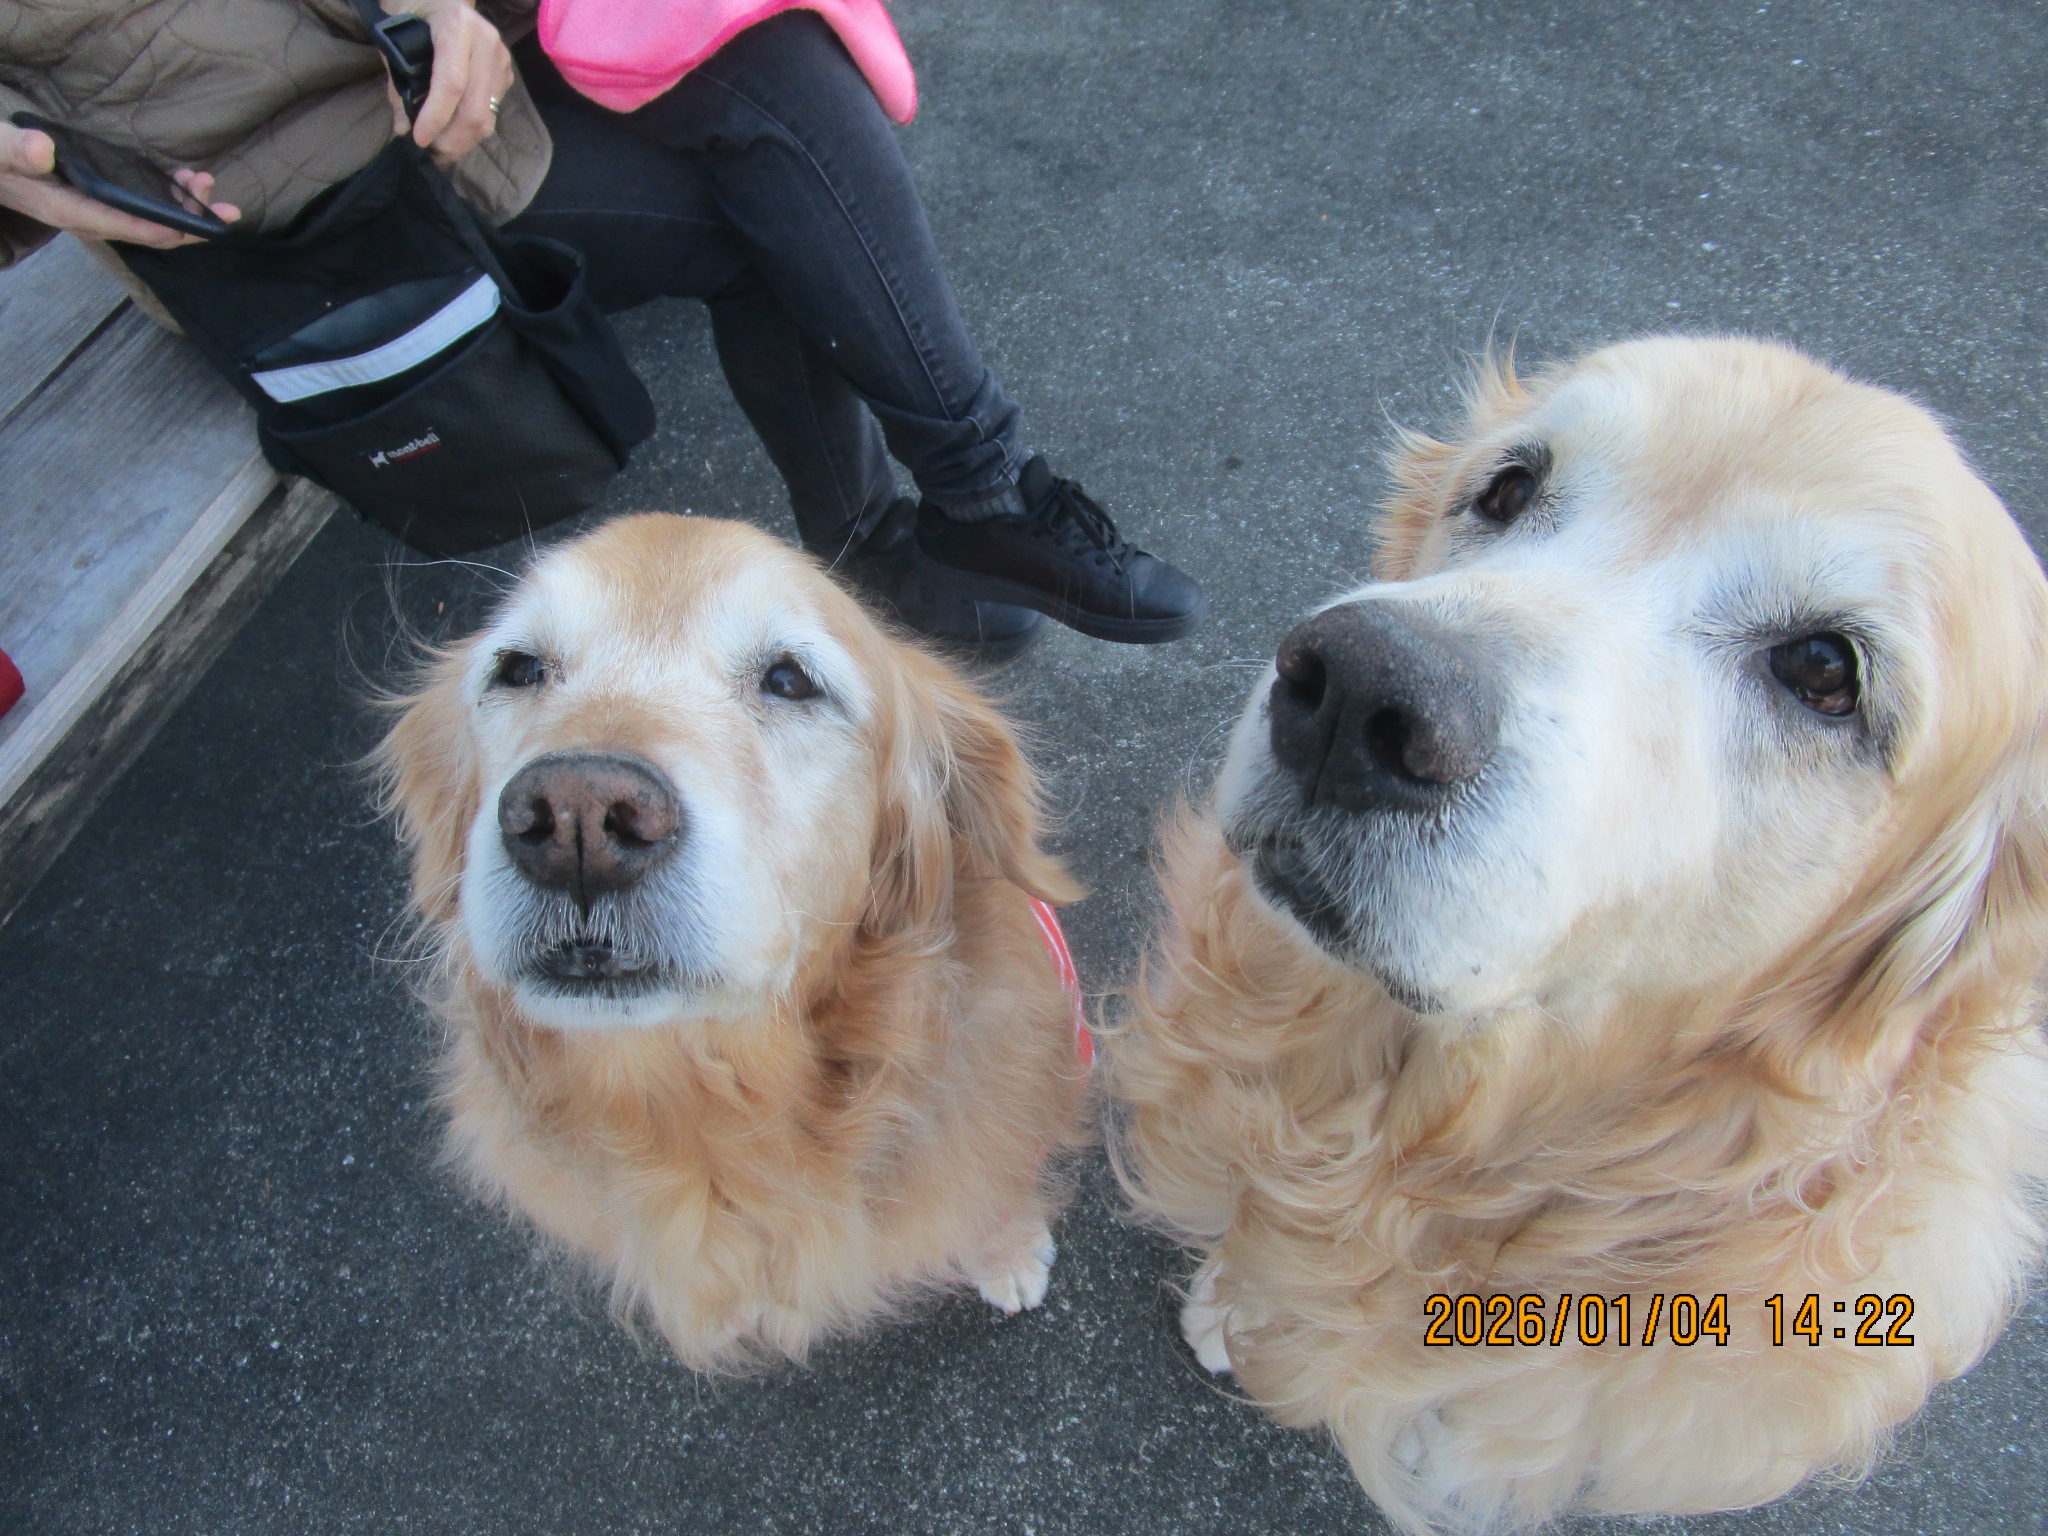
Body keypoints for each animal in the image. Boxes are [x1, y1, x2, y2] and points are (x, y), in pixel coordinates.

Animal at [377, 513, 1090, 1371]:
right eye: (518, 669)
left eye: (789, 680)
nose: (578, 818)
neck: (719, 1114)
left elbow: (992, 1198)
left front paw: (1008, 1255)